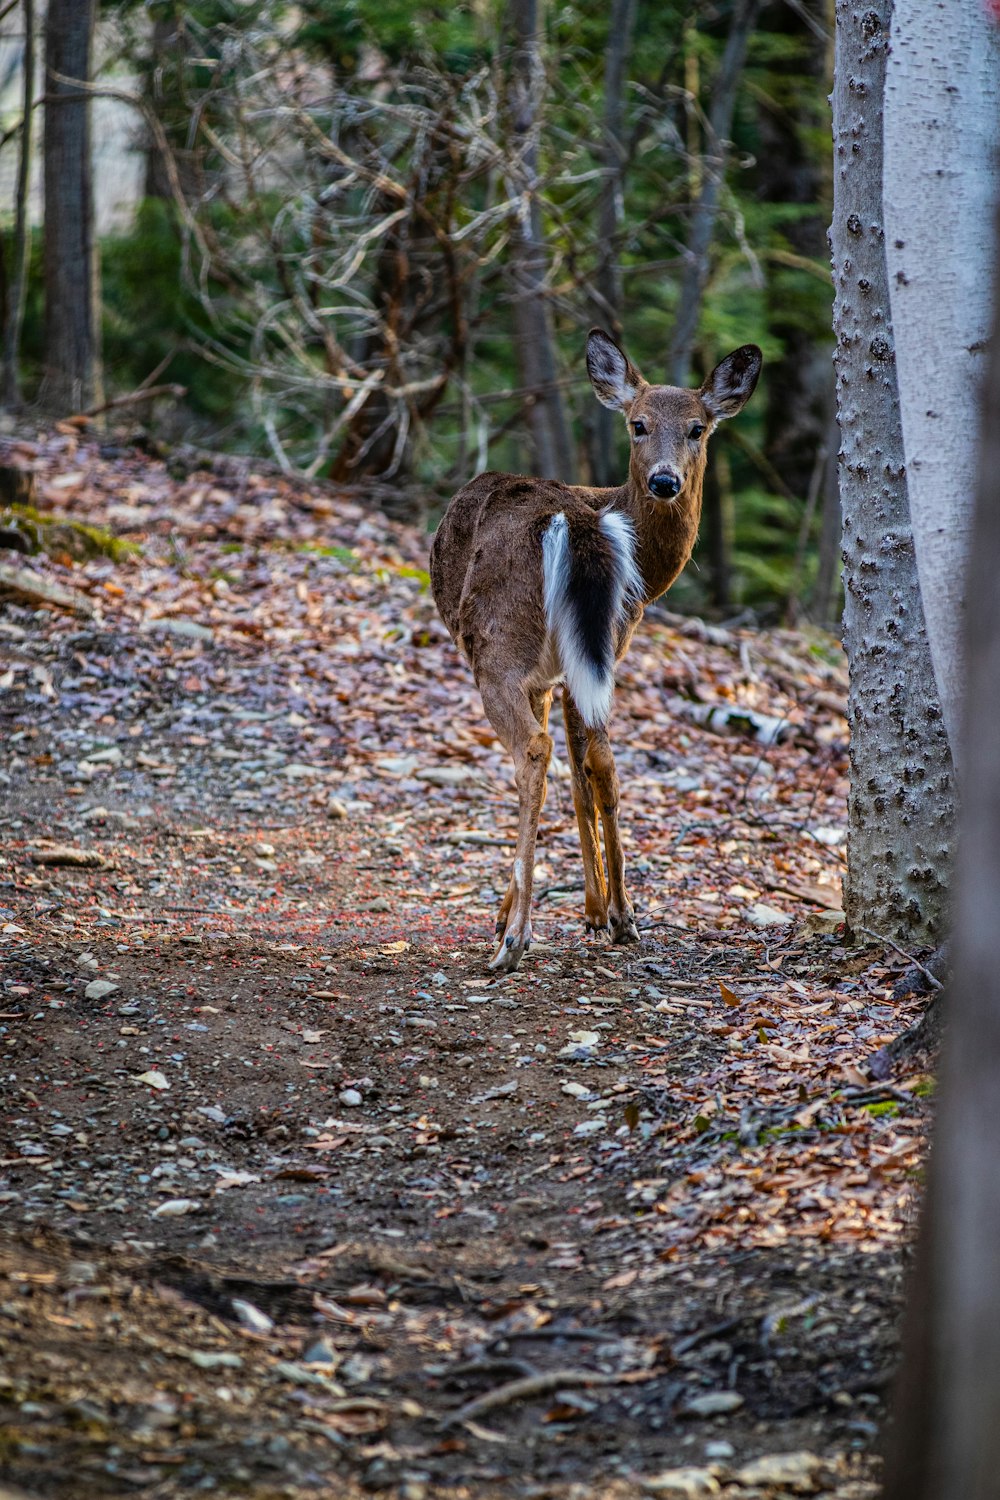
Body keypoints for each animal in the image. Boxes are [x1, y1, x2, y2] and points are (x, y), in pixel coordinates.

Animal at [425, 328, 761, 972]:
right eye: (638, 424)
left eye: (697, 428)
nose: (664, 481)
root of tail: (574, 524)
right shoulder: (591, 657)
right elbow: (592, 772)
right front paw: (604, 912)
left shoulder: (549, 673)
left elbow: (573, 775)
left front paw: (562, 912)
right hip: (581, 648)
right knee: (601, 761)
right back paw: (624, 916)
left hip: (498, 643)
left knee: (535, 750)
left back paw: (514, 938)